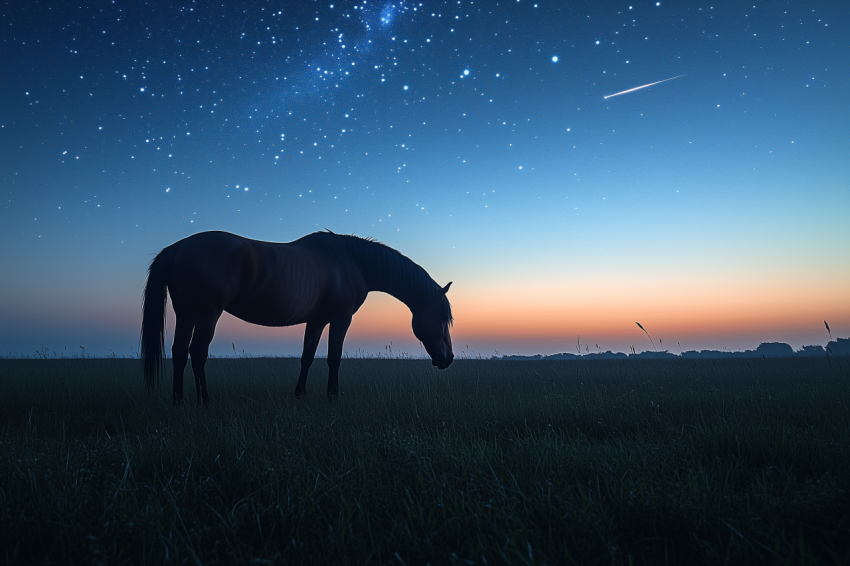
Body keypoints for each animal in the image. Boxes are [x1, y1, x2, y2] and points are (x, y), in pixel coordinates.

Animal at [140, 230, 454, 405]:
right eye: (442, 318)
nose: (448, 359)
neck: (353, 262)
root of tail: (179, 247)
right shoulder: (341, 319)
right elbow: (333, 358)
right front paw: (332, 396)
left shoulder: (316, 320)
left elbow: (307, 357)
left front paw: (300, 394)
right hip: (207, 314)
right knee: (197, 352)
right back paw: (204, 401)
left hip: (186, 313)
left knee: (179, 352)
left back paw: (178, 401)